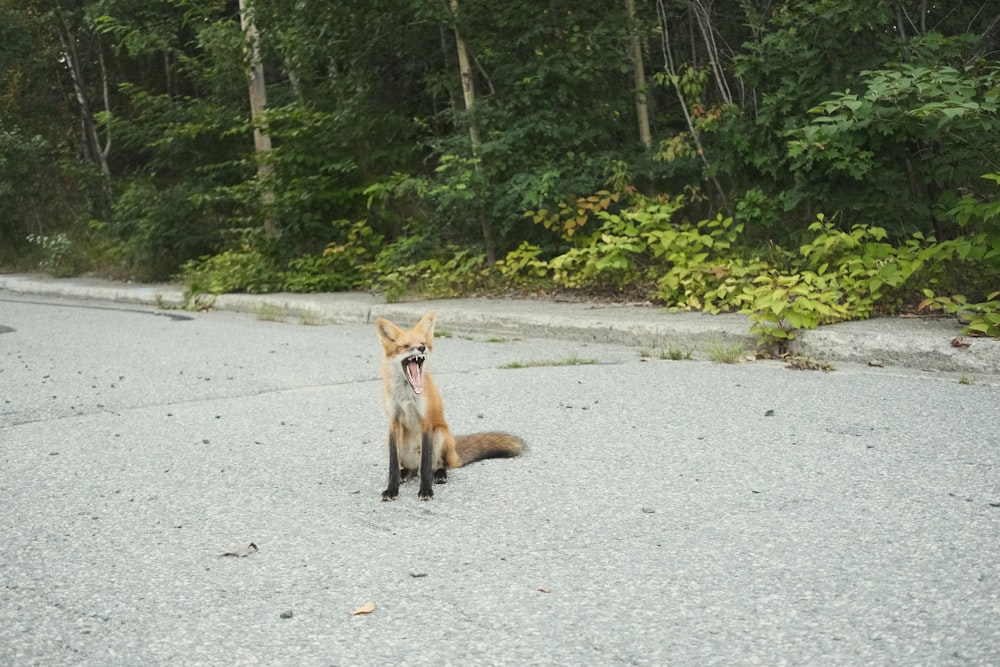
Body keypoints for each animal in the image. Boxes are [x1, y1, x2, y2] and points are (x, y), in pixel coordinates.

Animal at [374, 310, 524, 498]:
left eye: (423, 343)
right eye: (406, 346)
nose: (422, 348)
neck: (406, 396)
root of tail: (455, 453)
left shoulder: (426, 422)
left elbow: (426, 464)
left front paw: (426, 490)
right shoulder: (394, 422)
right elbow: (393, 465)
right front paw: (392, 489)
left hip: (440, 433)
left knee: (436, 465)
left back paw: (440, 475)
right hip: (392, 442)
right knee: (412, 470)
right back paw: (405, 474)